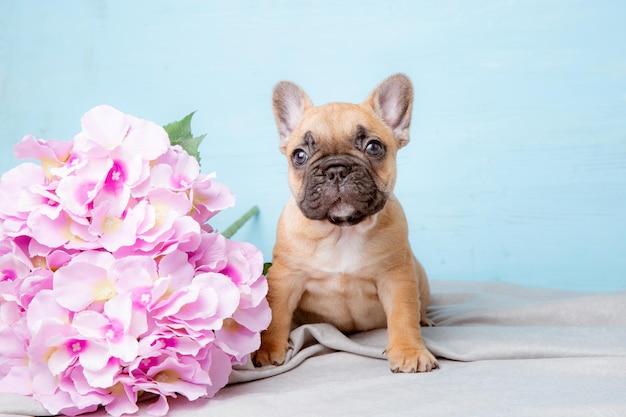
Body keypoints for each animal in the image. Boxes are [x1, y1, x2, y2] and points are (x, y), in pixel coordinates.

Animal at [251, 73, 436, 372]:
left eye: (374, 147)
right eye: (299, 155)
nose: (336, 169)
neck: (342, 229)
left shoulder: (397, 278)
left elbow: (403, 316)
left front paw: (410, 352)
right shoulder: (285, 278)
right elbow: (275, 315)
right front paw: (268, 350)